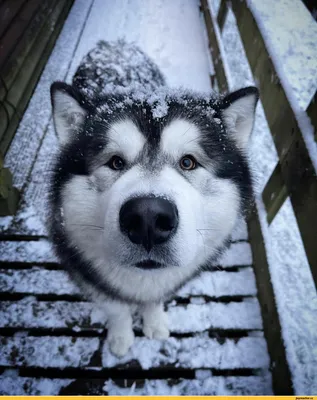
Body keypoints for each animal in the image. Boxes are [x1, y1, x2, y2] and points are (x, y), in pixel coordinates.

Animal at [48, 40, 258, 358]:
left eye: (188, 162)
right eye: (115, 162)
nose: (147, 218)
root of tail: (115, 44)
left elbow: (156, 299)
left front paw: (155, 322)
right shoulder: (88, 275)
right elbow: (117, 309)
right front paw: (121, 337)